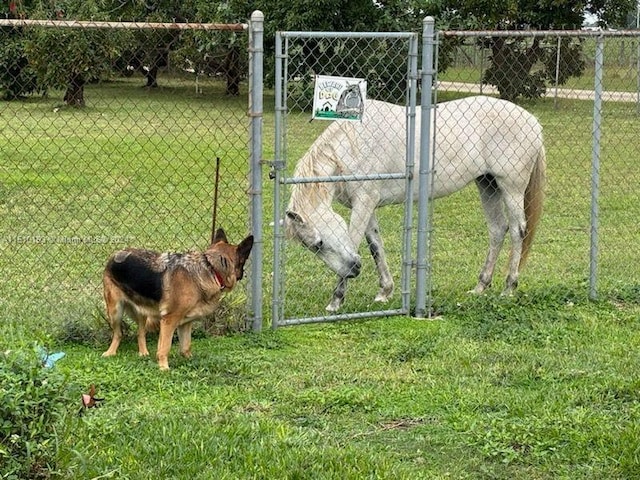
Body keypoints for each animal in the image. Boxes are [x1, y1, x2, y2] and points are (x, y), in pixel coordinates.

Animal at [102, 229, 252, 372]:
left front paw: (190, 360)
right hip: (115, 311)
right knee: (118, 334)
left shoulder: (185, 323)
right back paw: (110, 352)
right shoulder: (169, 321)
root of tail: (117, 253)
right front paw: (164, 368)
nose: (243, 275)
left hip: (141, 312)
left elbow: (186, 346)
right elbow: (164, 347)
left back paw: (143, 353)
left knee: (141, 333)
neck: (211, 269)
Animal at [284, 96, 544, 314]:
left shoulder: (364, 203)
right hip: (487, 185)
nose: (354, 269)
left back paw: (508, 288)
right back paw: (480, 286)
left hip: (510, 188)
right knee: (498, 229)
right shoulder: (367, 205)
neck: (352, 146)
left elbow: (356, 240)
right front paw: (384, 292)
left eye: (318, 244)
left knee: (518, 231)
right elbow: (375, 245)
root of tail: (533, 122)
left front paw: (336, 300)